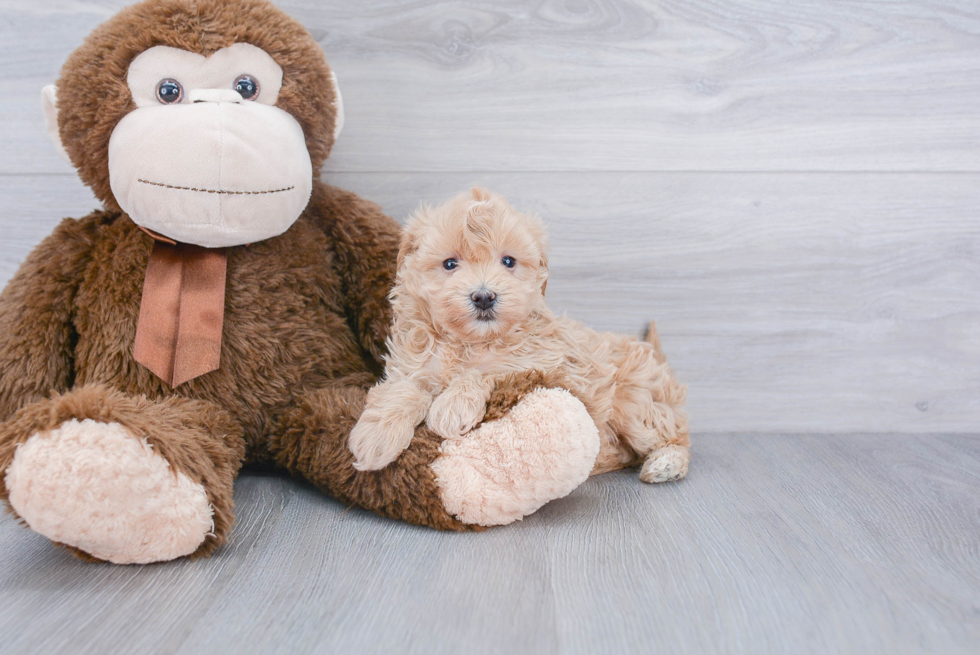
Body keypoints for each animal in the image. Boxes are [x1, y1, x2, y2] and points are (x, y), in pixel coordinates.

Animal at [350, 186, 688, 482]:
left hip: (633, 402)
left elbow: (490, 370)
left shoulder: (546, 365)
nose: (484, 296)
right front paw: (376, 435)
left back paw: (666, 463)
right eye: (450, 263)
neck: (471, 342)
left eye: (508, 261)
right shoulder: (410, 367)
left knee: (676, 431)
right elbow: (405, 389)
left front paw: (452, 406)